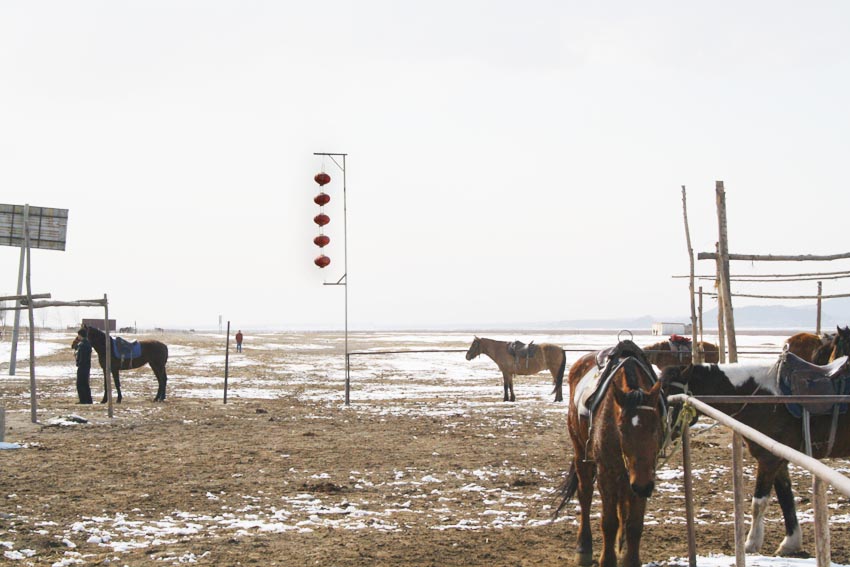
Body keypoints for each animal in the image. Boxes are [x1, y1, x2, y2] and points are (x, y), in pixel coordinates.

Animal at [556, 342, 668, 567]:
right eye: (621, 428)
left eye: (655, 427)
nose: (643, 486)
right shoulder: (606, 471)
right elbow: (608, 522)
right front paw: (607, 559)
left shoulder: (644, 474)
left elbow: (634, 524)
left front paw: (631, 559)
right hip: (581, 453)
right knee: (585, 494)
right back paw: (584, 547)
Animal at [660, 358, 848, 556]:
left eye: (670, 395)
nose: (661, 435)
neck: (759, 398)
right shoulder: (778, 460)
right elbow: (785, 498)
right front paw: (790, 543)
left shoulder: (769, 459)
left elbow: (758, 503)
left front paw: (750, 544)